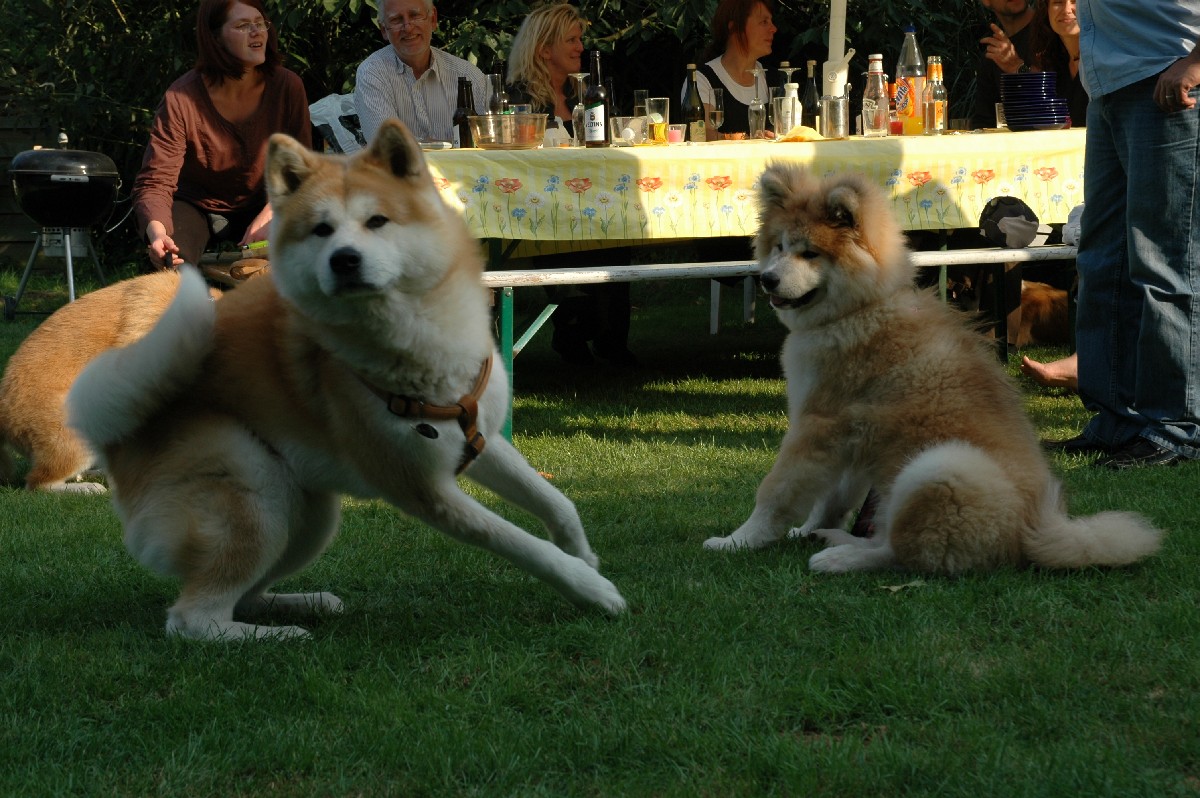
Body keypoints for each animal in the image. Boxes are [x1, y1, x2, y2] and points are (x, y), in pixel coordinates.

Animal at [66, 119, 626, 639]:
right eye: (321, 231)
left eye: (377, 221)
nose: (344, 260)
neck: (419, 344)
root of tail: (117, 436)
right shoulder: (424, 490)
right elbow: (523, 545)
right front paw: (592, 588)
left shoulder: (480, 440)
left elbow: (557, 502)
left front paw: (584, 555)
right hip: (258, 496)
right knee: (194, 619)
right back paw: (275, 637)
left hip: (309, 516)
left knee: (244, 596)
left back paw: (304, 604)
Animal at [703, 164, 1162, 573]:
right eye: (779, 247)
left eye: (809, 253)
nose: (767, 280)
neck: (863, 308)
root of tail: (1030, 532)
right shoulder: (850, 440)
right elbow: (831, 499)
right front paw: (809, 528)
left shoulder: (817, 424)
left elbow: (775, 493)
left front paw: (738, 541)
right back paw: (835, 539)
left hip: (939, 466)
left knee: (902, 554)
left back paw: (840, 558)